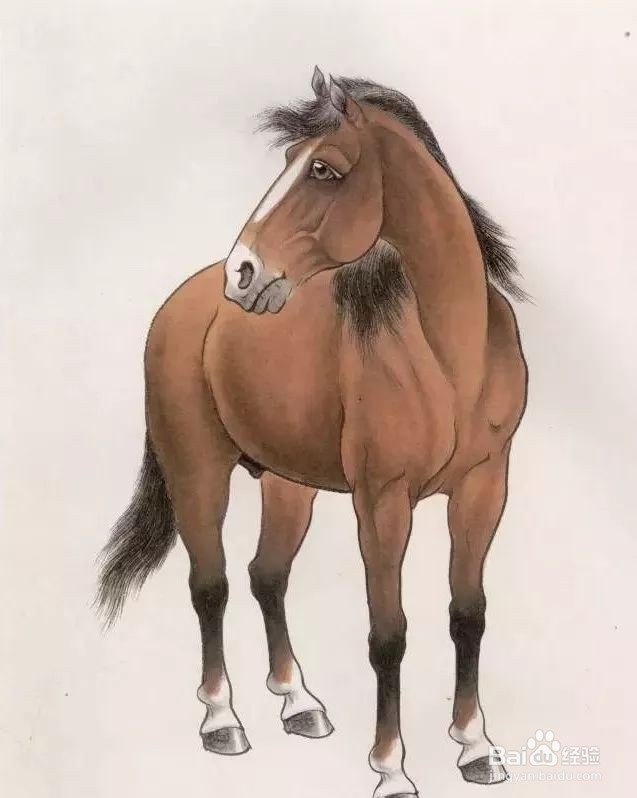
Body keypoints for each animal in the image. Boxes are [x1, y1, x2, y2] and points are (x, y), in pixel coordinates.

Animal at [97, 68, 528, 797]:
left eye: (323, 169)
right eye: (289, 162)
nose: (243, 272)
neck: (450, 361)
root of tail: (184, 304)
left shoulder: (483, 487)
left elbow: (467, 615)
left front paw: (476, 748)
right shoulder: (382, 502)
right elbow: (388, 635)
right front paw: (390, 769)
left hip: (286, 485)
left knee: (266, 575)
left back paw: (298, 704)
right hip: (197, 473)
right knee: (210, 585)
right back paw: (222, 720)